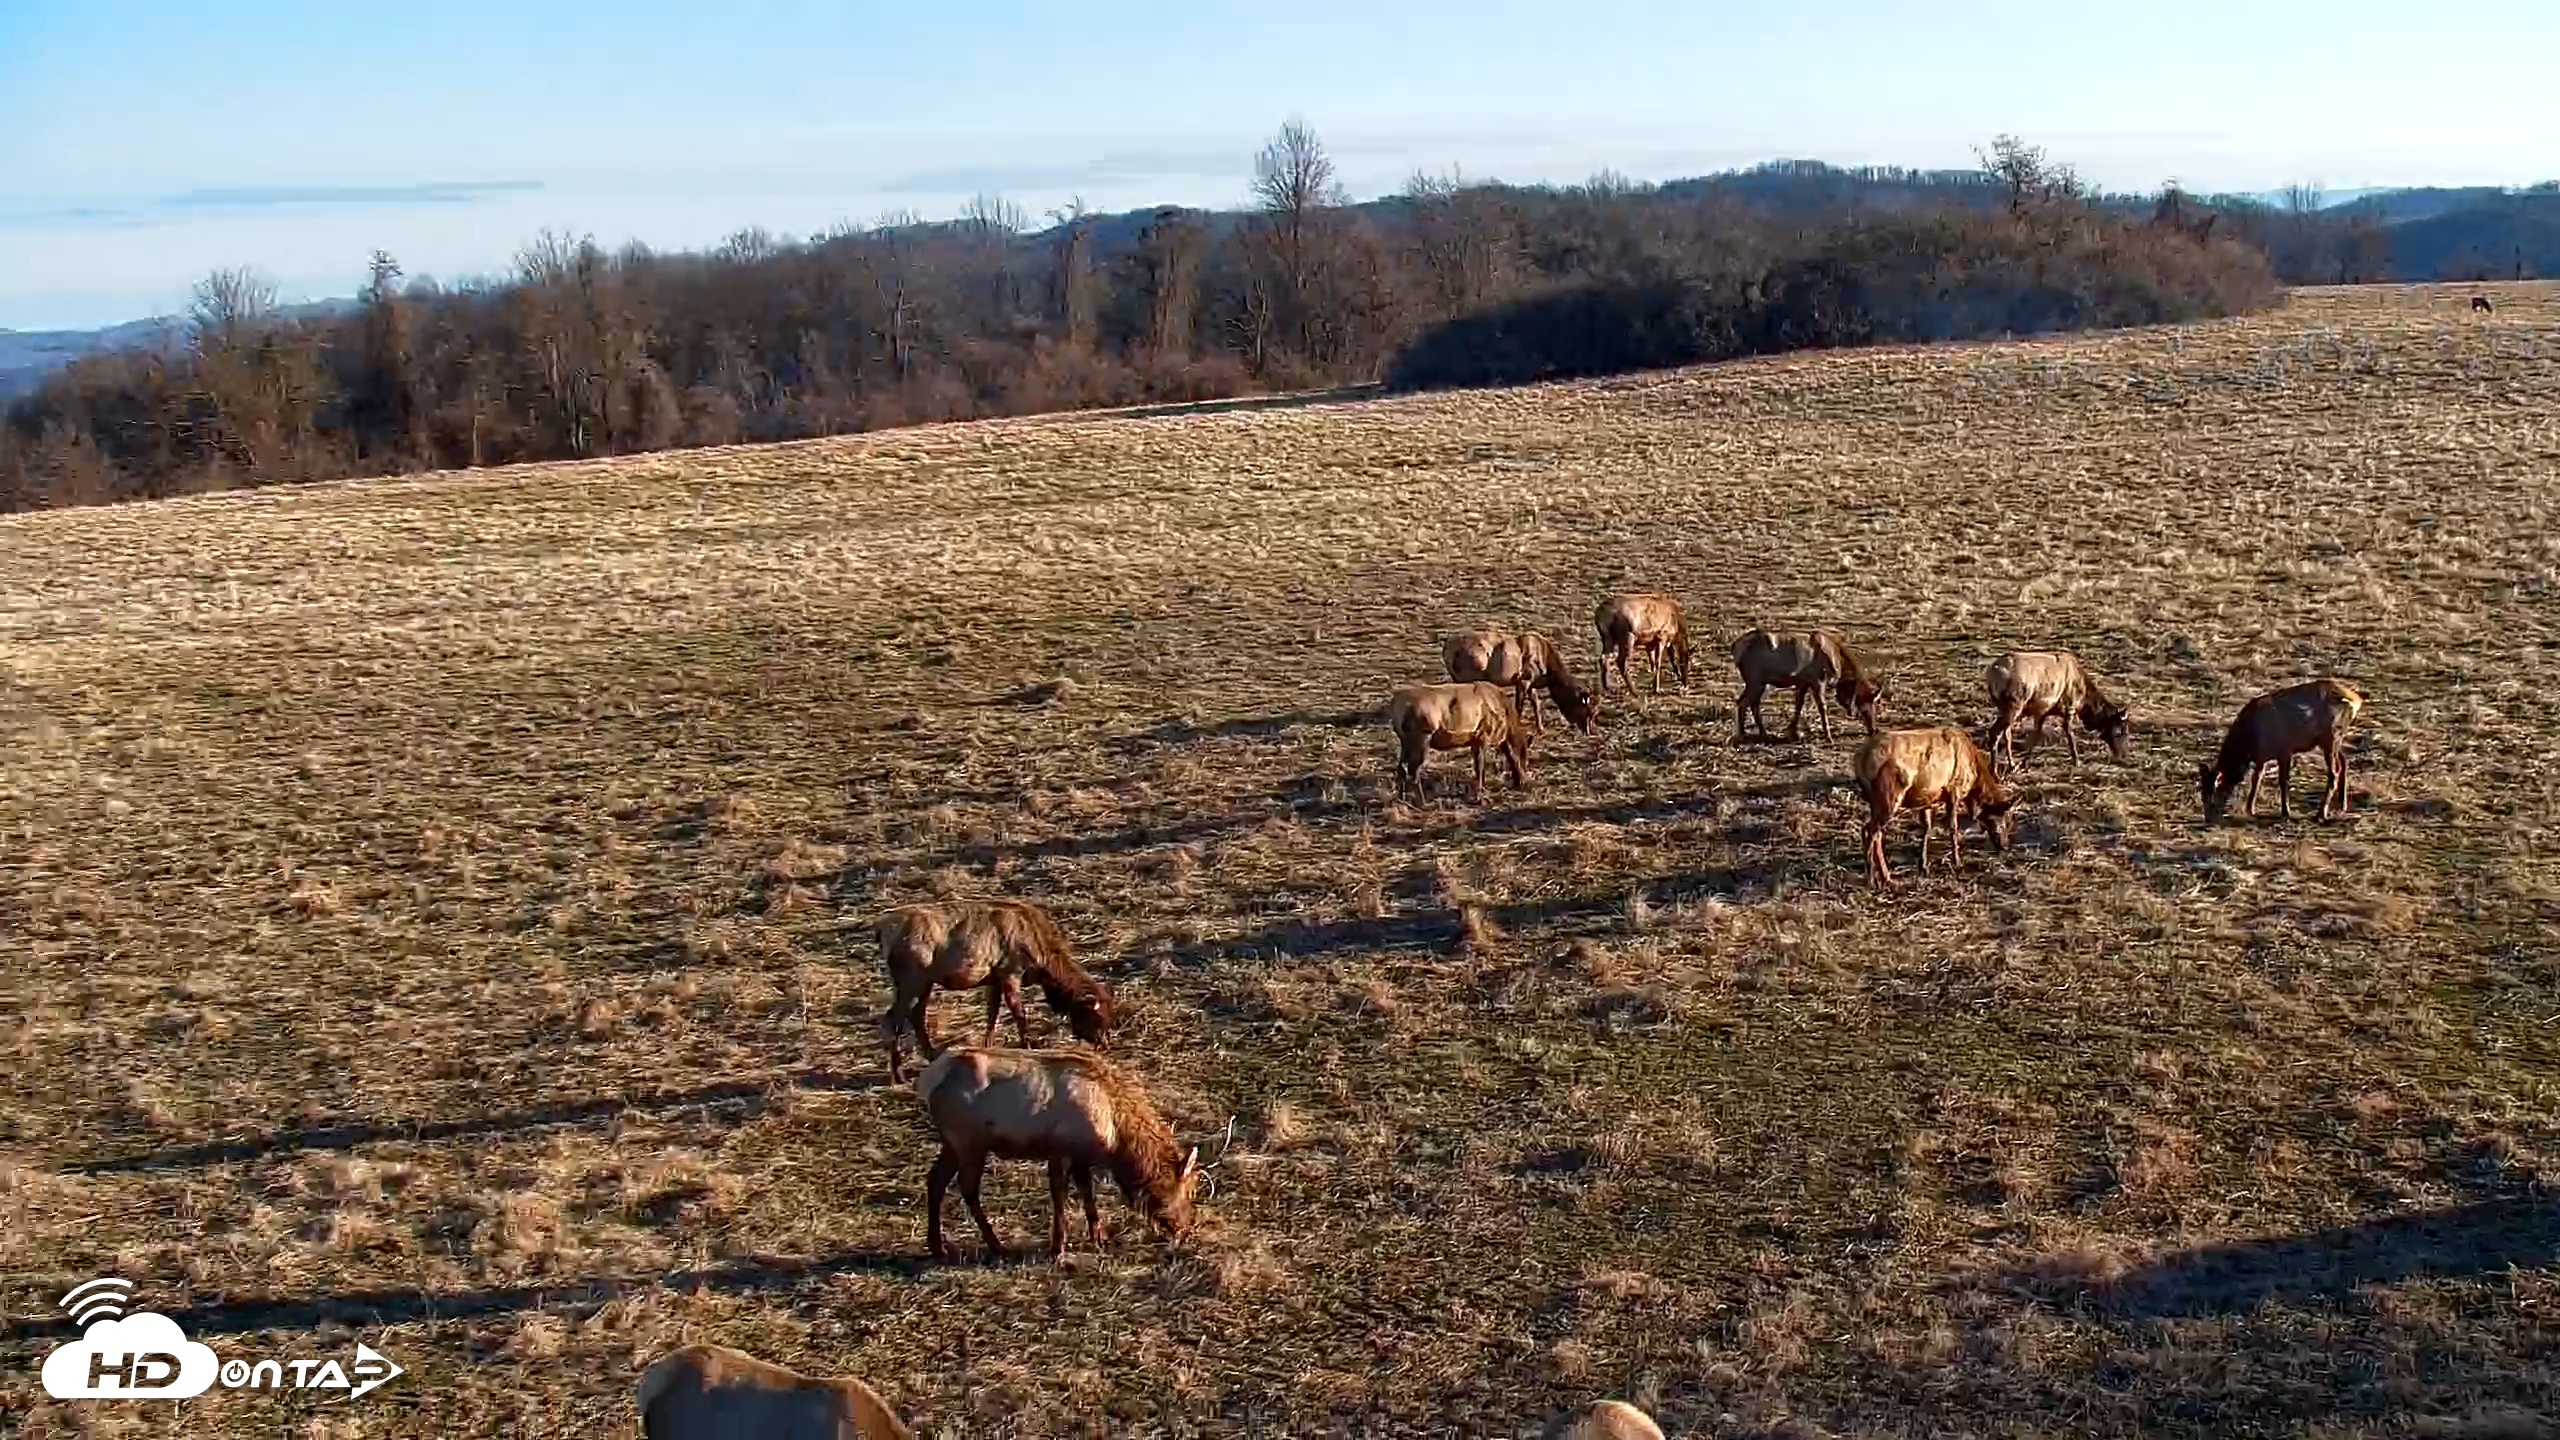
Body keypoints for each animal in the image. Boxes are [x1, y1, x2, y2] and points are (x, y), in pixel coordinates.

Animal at [876, 899, 1114, 1083]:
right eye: (1096, 1016)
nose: (1104, 1044)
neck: (1043, 960)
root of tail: (883, 932)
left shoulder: (994, 978)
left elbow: (992, 1014)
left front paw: (988, 1046)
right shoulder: (1010, 972)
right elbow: (1018, 1013)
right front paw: (1028, 1044)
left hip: (925, 982)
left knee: (917, 1015)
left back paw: (931, 1053)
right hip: (912, 979)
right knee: (892, 1019)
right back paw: (899, 1074)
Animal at [915, 1046, 1224, 1262]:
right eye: (1188, 1191)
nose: (1186, 1227)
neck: (1116, 1138)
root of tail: (928, 1081)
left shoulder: (1076, 1156)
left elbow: (1086, 1192)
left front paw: (1098, 1236)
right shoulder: (1060, 1150)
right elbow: (1061, 1195)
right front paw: (1057, 1247)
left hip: (953, 1144)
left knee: (936, 1181)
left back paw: (938, 1247)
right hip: (969, 1143)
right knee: (967, 1188)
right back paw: (996, 1245)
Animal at [2199, 678, 2364, 822]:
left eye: (2212, 797)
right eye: (2202, 795)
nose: (2207, 819)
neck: (2248, 742)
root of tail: (2356, 700)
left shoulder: (2284, 750)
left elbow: (2283, 781)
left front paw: (2285, 812)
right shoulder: (2261, 757)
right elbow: (2256, 780)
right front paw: (2250, 809)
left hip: (2331, 736)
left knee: (2333, 773)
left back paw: (2320, 814)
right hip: (2334, 739)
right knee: (2343, 761)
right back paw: (2342, 804)